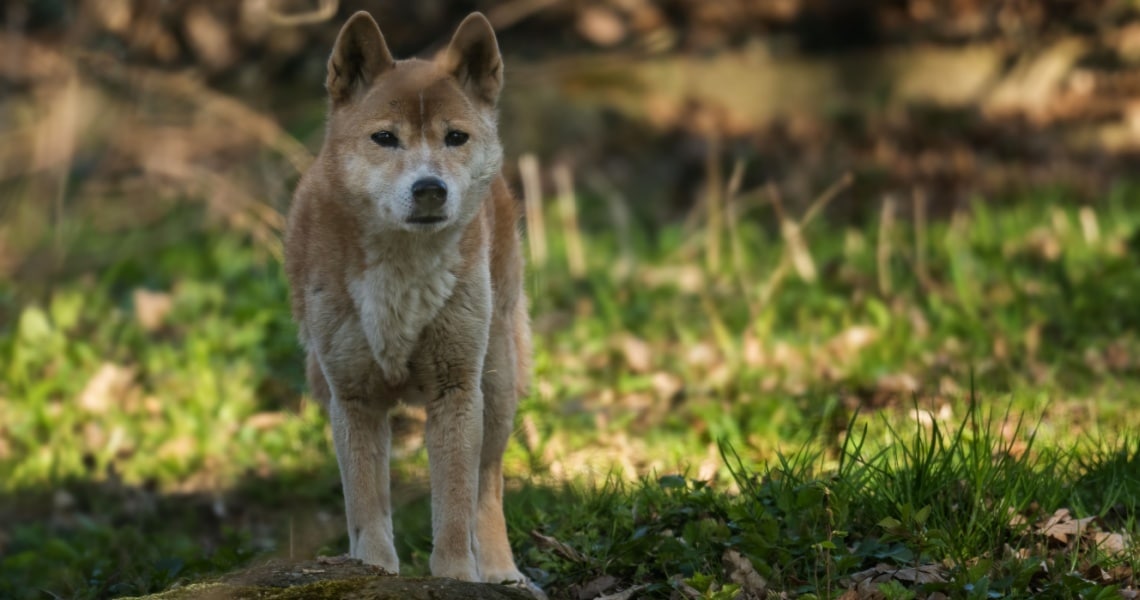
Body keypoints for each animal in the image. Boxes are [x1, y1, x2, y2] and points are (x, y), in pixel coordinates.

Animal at [282, 11, 535, 593]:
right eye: (385, 139)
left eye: (455, 137)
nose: (429, 189)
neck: (402, 268)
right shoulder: (353, 397)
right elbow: (367, 506)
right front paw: (371, 570)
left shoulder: (455, 389)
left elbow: (456, 506)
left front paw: (456, 576)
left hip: (497, 382)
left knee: (489, 487)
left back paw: (501, 572)